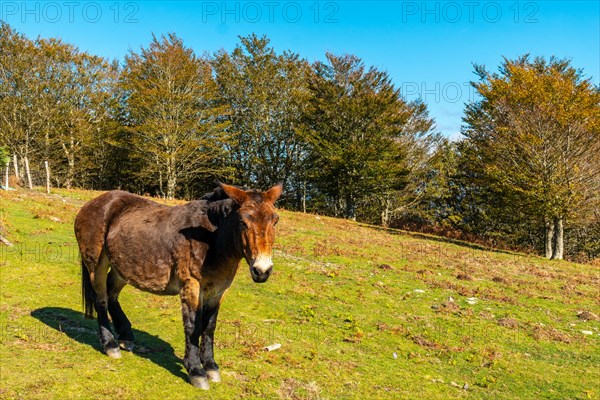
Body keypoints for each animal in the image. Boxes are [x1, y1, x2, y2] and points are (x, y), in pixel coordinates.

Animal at [74, 183, 282, 390]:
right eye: (242, 222)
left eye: (275, 221)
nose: (262, 270)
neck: (211, 240)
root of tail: (93, 203)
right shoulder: (192, 286)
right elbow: (193, 327)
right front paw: (196, 371)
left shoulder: (218, 291)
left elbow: (209, 327)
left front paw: (211, 367)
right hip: (97, 265)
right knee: (101, 300)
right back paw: (111, 345)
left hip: (122, 268)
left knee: (111, 296)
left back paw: (126, 336)